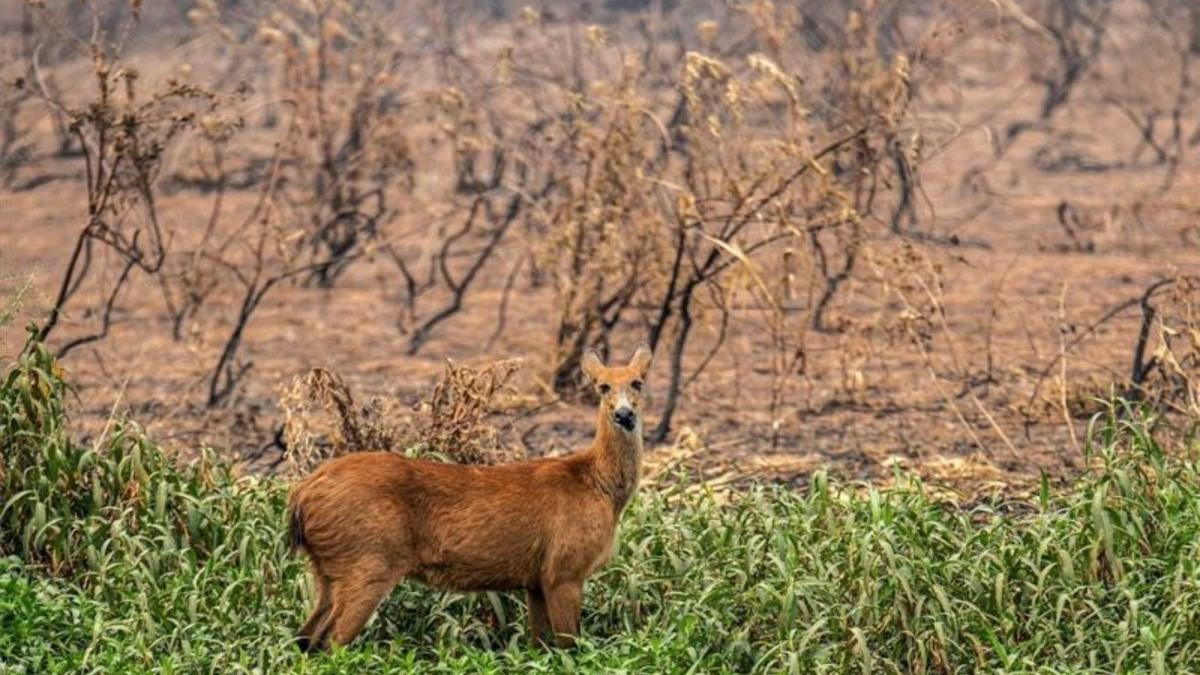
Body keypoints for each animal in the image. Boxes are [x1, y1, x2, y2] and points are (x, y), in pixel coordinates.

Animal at [285, 343, 652, 648]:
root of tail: (302, 493)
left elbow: (540, 646)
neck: (598, 485)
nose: (624, 414)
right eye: (602, 386)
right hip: (367, 561)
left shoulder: (536, 580)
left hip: (326, 570)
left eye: (638, 383)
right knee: (330, 643)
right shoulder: (564, 569)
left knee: (304, 638)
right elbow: (568, 647)